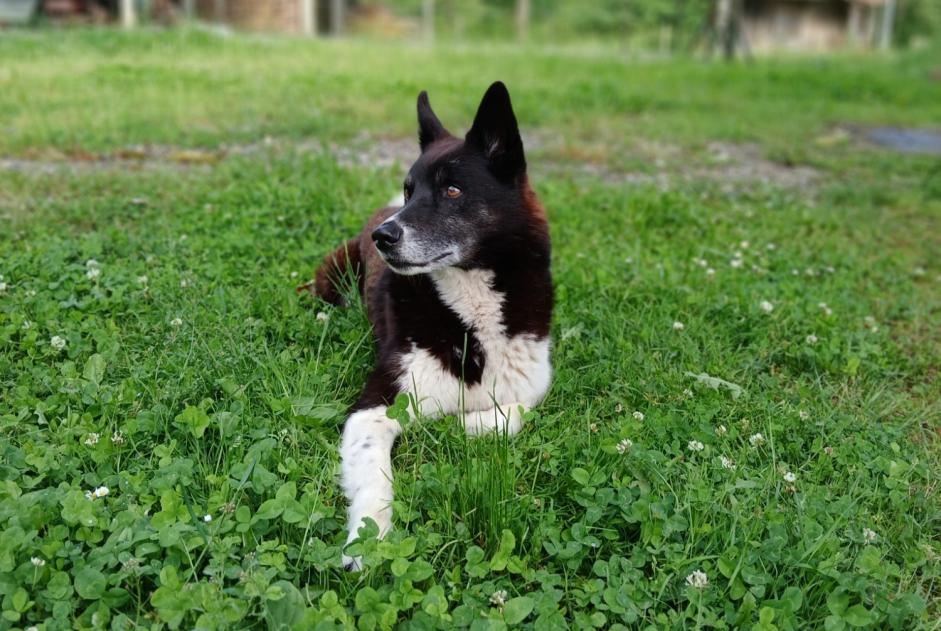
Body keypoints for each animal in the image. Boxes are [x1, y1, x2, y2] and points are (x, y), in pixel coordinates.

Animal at [302, 81, 552, 572]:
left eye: (452, 190)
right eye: (410, 190)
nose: (383, 237)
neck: (470, 307)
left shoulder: (534, 376)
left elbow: (517, 411)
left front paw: (462, 426)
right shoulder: (376, 404)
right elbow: (374, 475)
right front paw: (369, 539)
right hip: (335, 272)